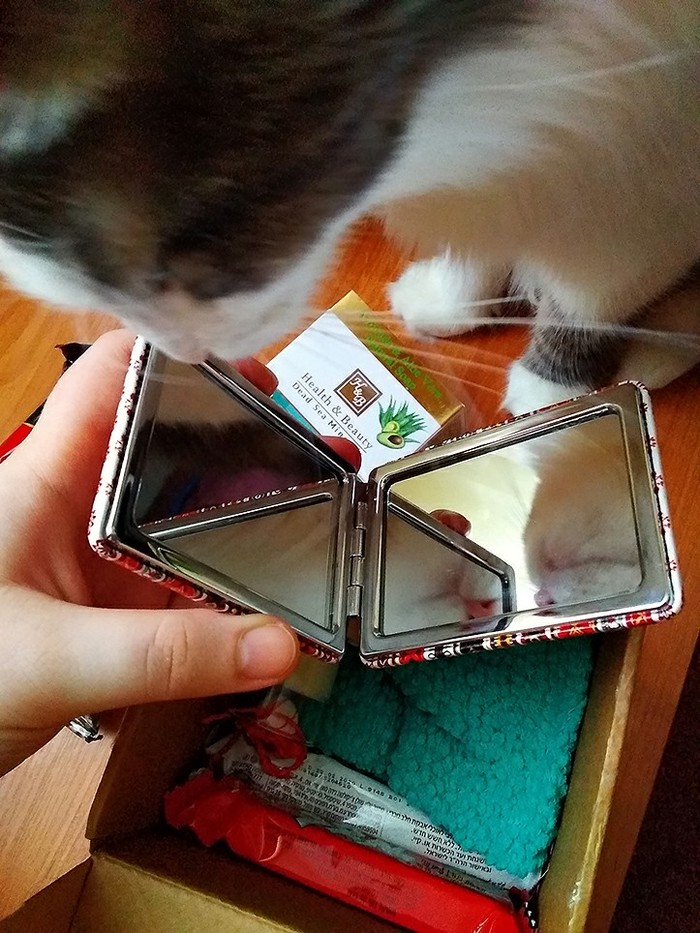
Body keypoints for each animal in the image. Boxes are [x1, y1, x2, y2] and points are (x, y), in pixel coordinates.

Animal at [0, 1, 697, 416]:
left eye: (206, 233)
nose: (189, 356)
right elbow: (479, 252)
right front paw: (451, 306)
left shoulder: (637, 197)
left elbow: (584, 304)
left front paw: (546, 393)